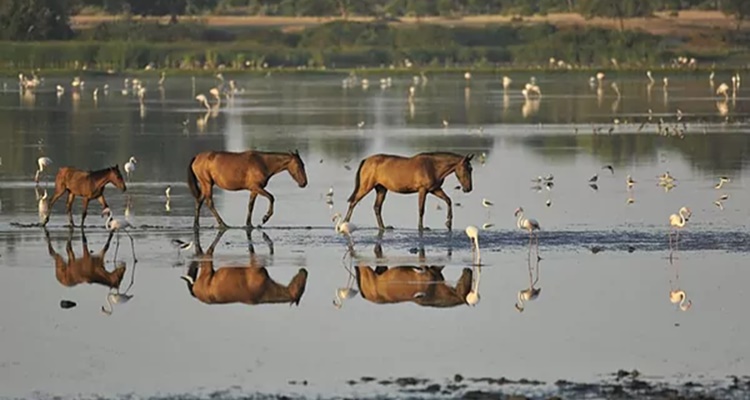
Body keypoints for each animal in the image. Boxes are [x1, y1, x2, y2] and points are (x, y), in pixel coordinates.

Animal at [344, 151, 472, 231]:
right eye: (466, 169)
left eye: (471, 169)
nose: (468, 188)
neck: (433, 166)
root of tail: (366, 160)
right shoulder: (423, 190)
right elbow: (421, 209)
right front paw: (422, 227)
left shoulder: (435, 189)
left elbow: (448, 200)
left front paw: (448, 222)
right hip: (365, 187)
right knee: (354, 202)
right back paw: (345, 222)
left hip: (381, 189)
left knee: (377, 207)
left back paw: (383, 227)